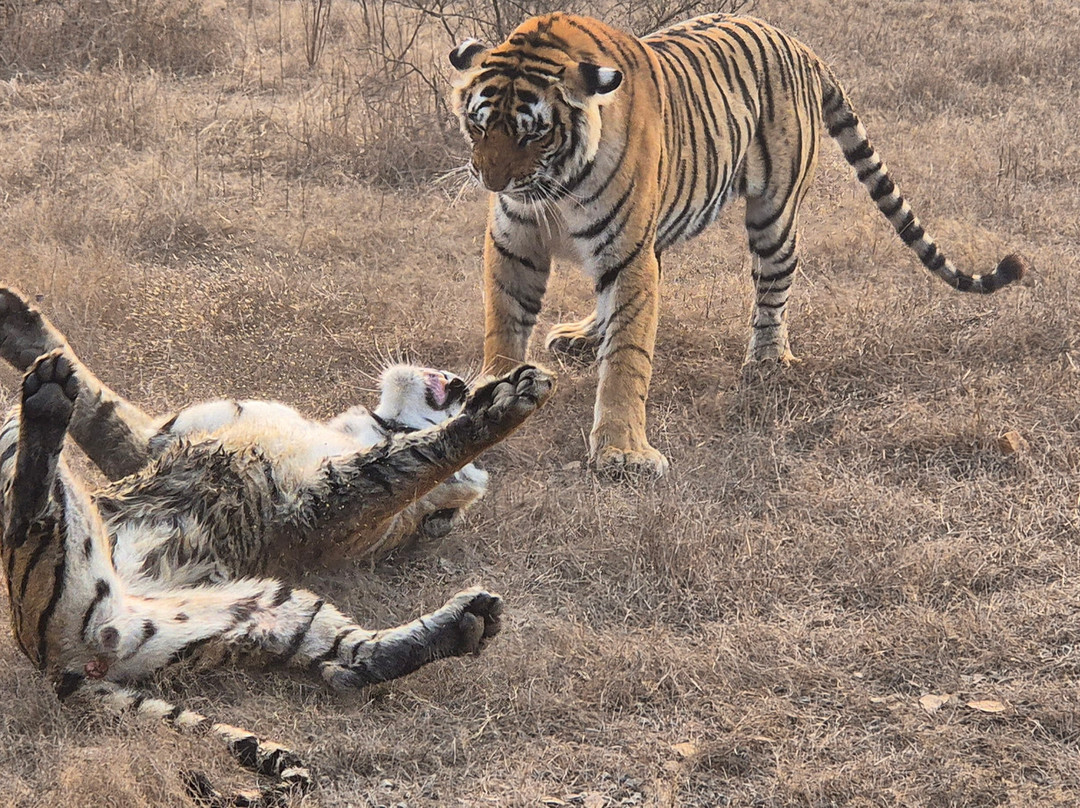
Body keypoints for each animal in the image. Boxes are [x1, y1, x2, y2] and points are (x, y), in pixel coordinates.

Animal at [0, 289, 554, 805]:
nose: (460, 385)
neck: (366, 423)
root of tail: (64, 667)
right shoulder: (155, 441)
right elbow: (99, 406)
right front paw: (18, 321)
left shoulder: (317, 501)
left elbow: (406, 459)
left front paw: (507, 402)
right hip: (272, 608)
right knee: (352, 665)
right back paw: (466, 622)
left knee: (28, 514)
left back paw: (43, 409)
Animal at [448, 11, 1029, 478]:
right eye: (477, 126)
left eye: (533, 133)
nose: (491, 181)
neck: (557, 186)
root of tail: (797, 42)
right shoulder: (514, 241)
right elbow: (504, 326)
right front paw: (492, 404)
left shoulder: (627, 252)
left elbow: (627, 357)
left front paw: (623, 453)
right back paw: (585, 333)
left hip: (772, 214)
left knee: (774, 286)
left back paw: (767, 361)